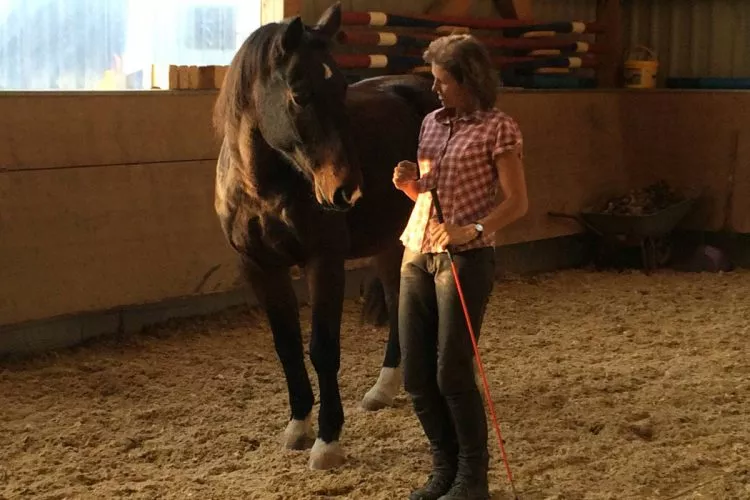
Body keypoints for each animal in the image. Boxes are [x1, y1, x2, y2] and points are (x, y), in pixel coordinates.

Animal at [212, 2, 440, 470]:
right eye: (300, 93)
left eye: (341, 91)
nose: (346, 190)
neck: (263, 188)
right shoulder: (261, 268)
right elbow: (286, 346)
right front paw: (298, 427)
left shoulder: (324, 262)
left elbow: (322, 348)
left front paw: (327, 440)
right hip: (391, 243)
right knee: (397, 299)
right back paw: (384, 388)